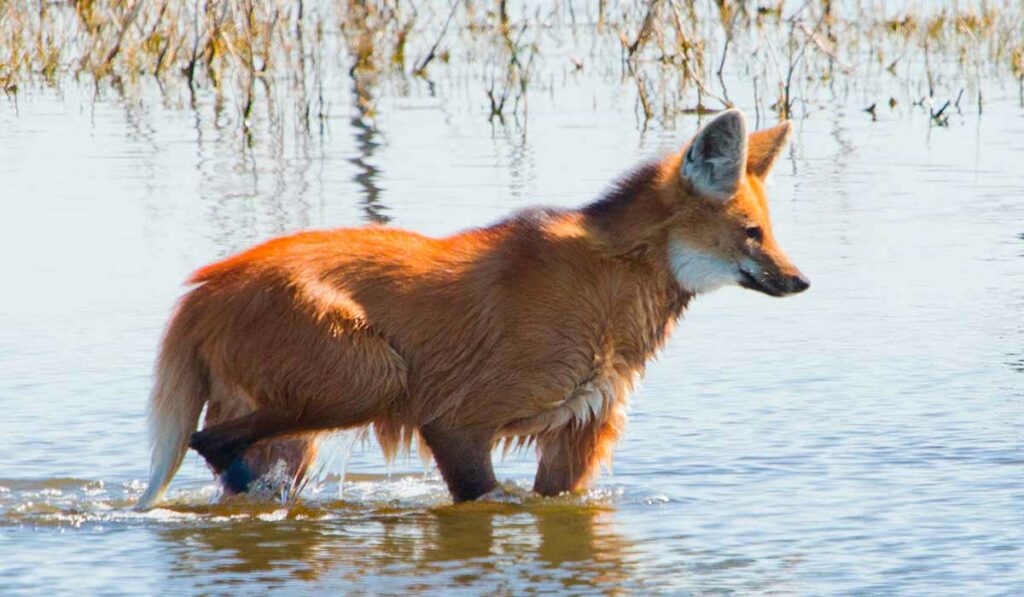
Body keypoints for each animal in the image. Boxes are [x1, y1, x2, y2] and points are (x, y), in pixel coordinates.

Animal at [136, 108, 806, 509]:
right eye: (751, 233)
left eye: (769, 231)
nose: (800, 281)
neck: (611, 285)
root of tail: (199, 290)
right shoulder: (457, 421)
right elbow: (484, 494)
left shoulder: (577, 434)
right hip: (373, 377)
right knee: (207, 439)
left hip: (301, 424)